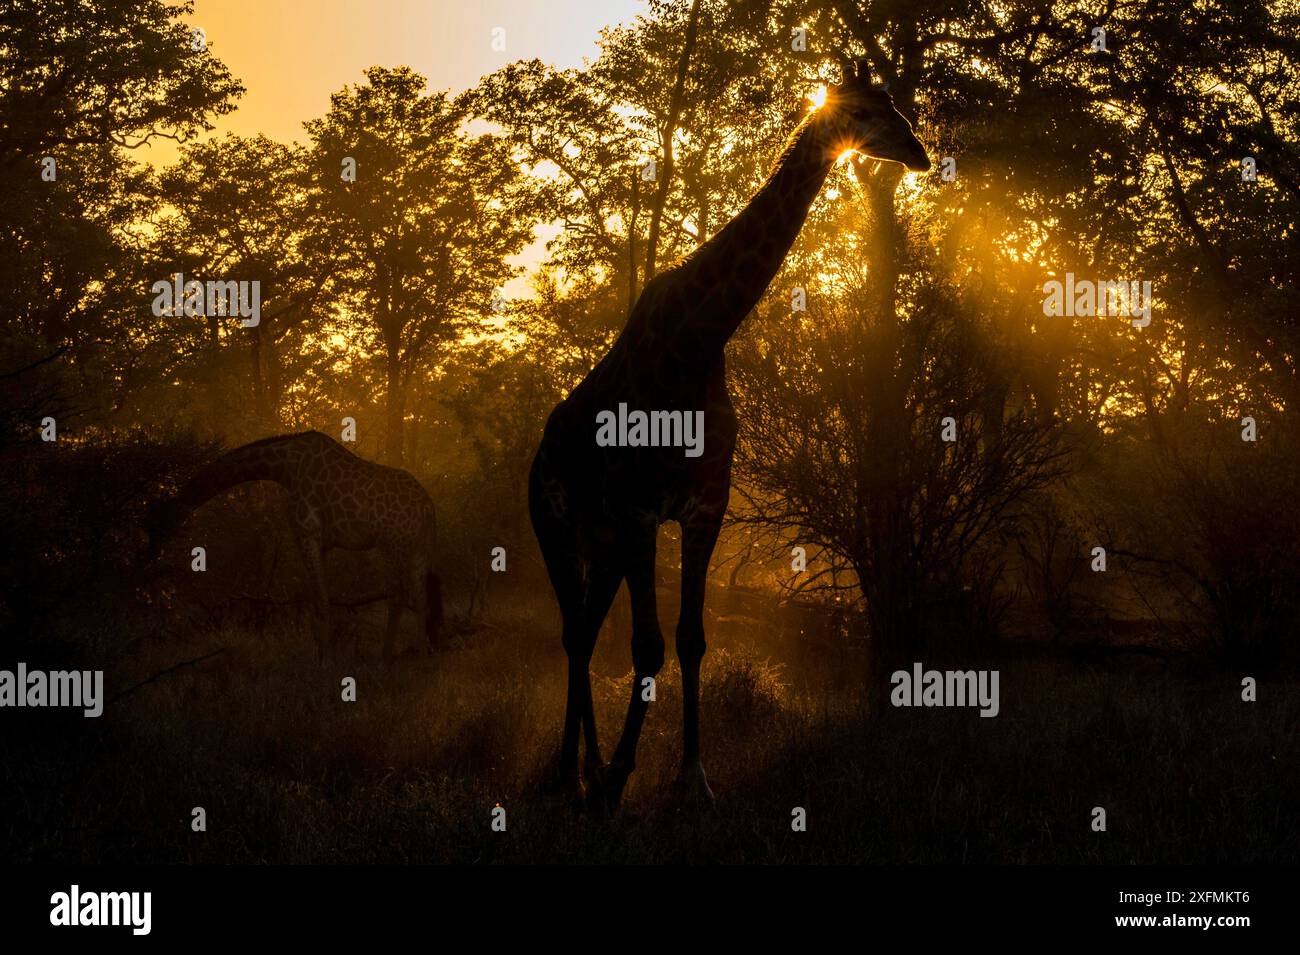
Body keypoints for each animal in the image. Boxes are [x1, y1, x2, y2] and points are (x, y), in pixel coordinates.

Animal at [148, 430, 443, 660]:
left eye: (158, 526)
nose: (154, 555)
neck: (284, 466)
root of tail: (427, 507)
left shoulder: (307, 533)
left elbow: (320, 600)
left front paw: (324, 661)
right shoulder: (323, 543)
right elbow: (316, 598)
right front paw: (321, 654)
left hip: (393, 545)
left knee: (397, 596)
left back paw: (386, 658)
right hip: (418, 549)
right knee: (421, 598)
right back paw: (421, 654)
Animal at [529, 61, 929, 812]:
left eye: (893, 102)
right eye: (866, 110)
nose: (919, 152)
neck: (699, 339)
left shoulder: (702, 507)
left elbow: (689, 640)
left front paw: (690, 778)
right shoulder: (641, 509)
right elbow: (648, 646)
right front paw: (622, 777)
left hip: (603, 543)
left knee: (587, 631)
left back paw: (586, 768)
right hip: (556, 528)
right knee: (571, 634)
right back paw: (571, 774)